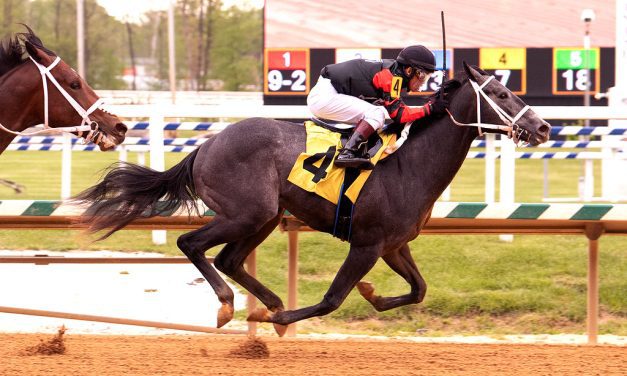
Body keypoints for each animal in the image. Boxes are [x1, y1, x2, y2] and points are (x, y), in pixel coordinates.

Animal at [76, 63, 552, 336]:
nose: (543, 127)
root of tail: (205, 147)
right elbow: (332, 300)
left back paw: (267, 302)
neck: (408, 168)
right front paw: (280, 320)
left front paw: (373, 294)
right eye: (503, 94)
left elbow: (418, 289)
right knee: (190, 244)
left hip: (266, 216)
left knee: (228, 258)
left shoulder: (395, 245)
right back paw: (233, 306)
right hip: (250, 212)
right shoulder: (367, 244)